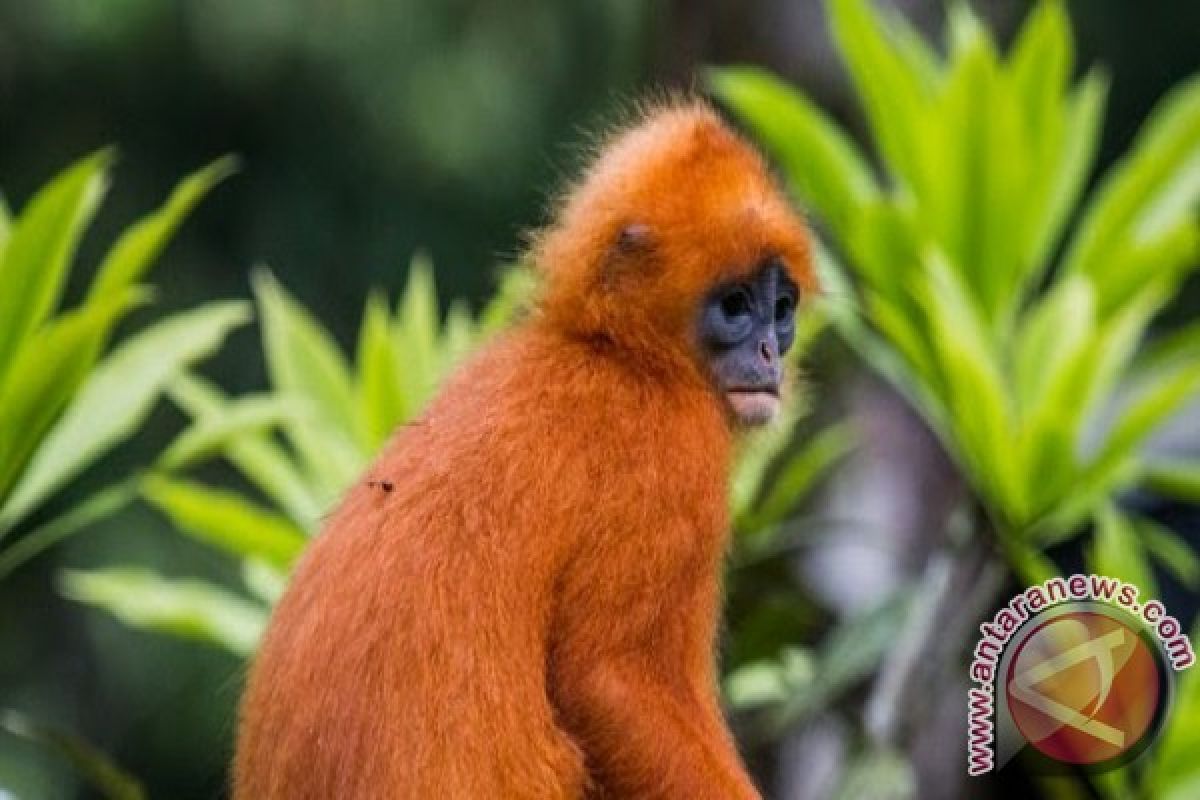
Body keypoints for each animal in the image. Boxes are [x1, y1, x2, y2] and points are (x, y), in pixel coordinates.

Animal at [234, 101, 816, 800]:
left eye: (780, 309)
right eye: (735, 307)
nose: (769, 352)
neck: (621, 358)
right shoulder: (675, 455)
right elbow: (607, 680)